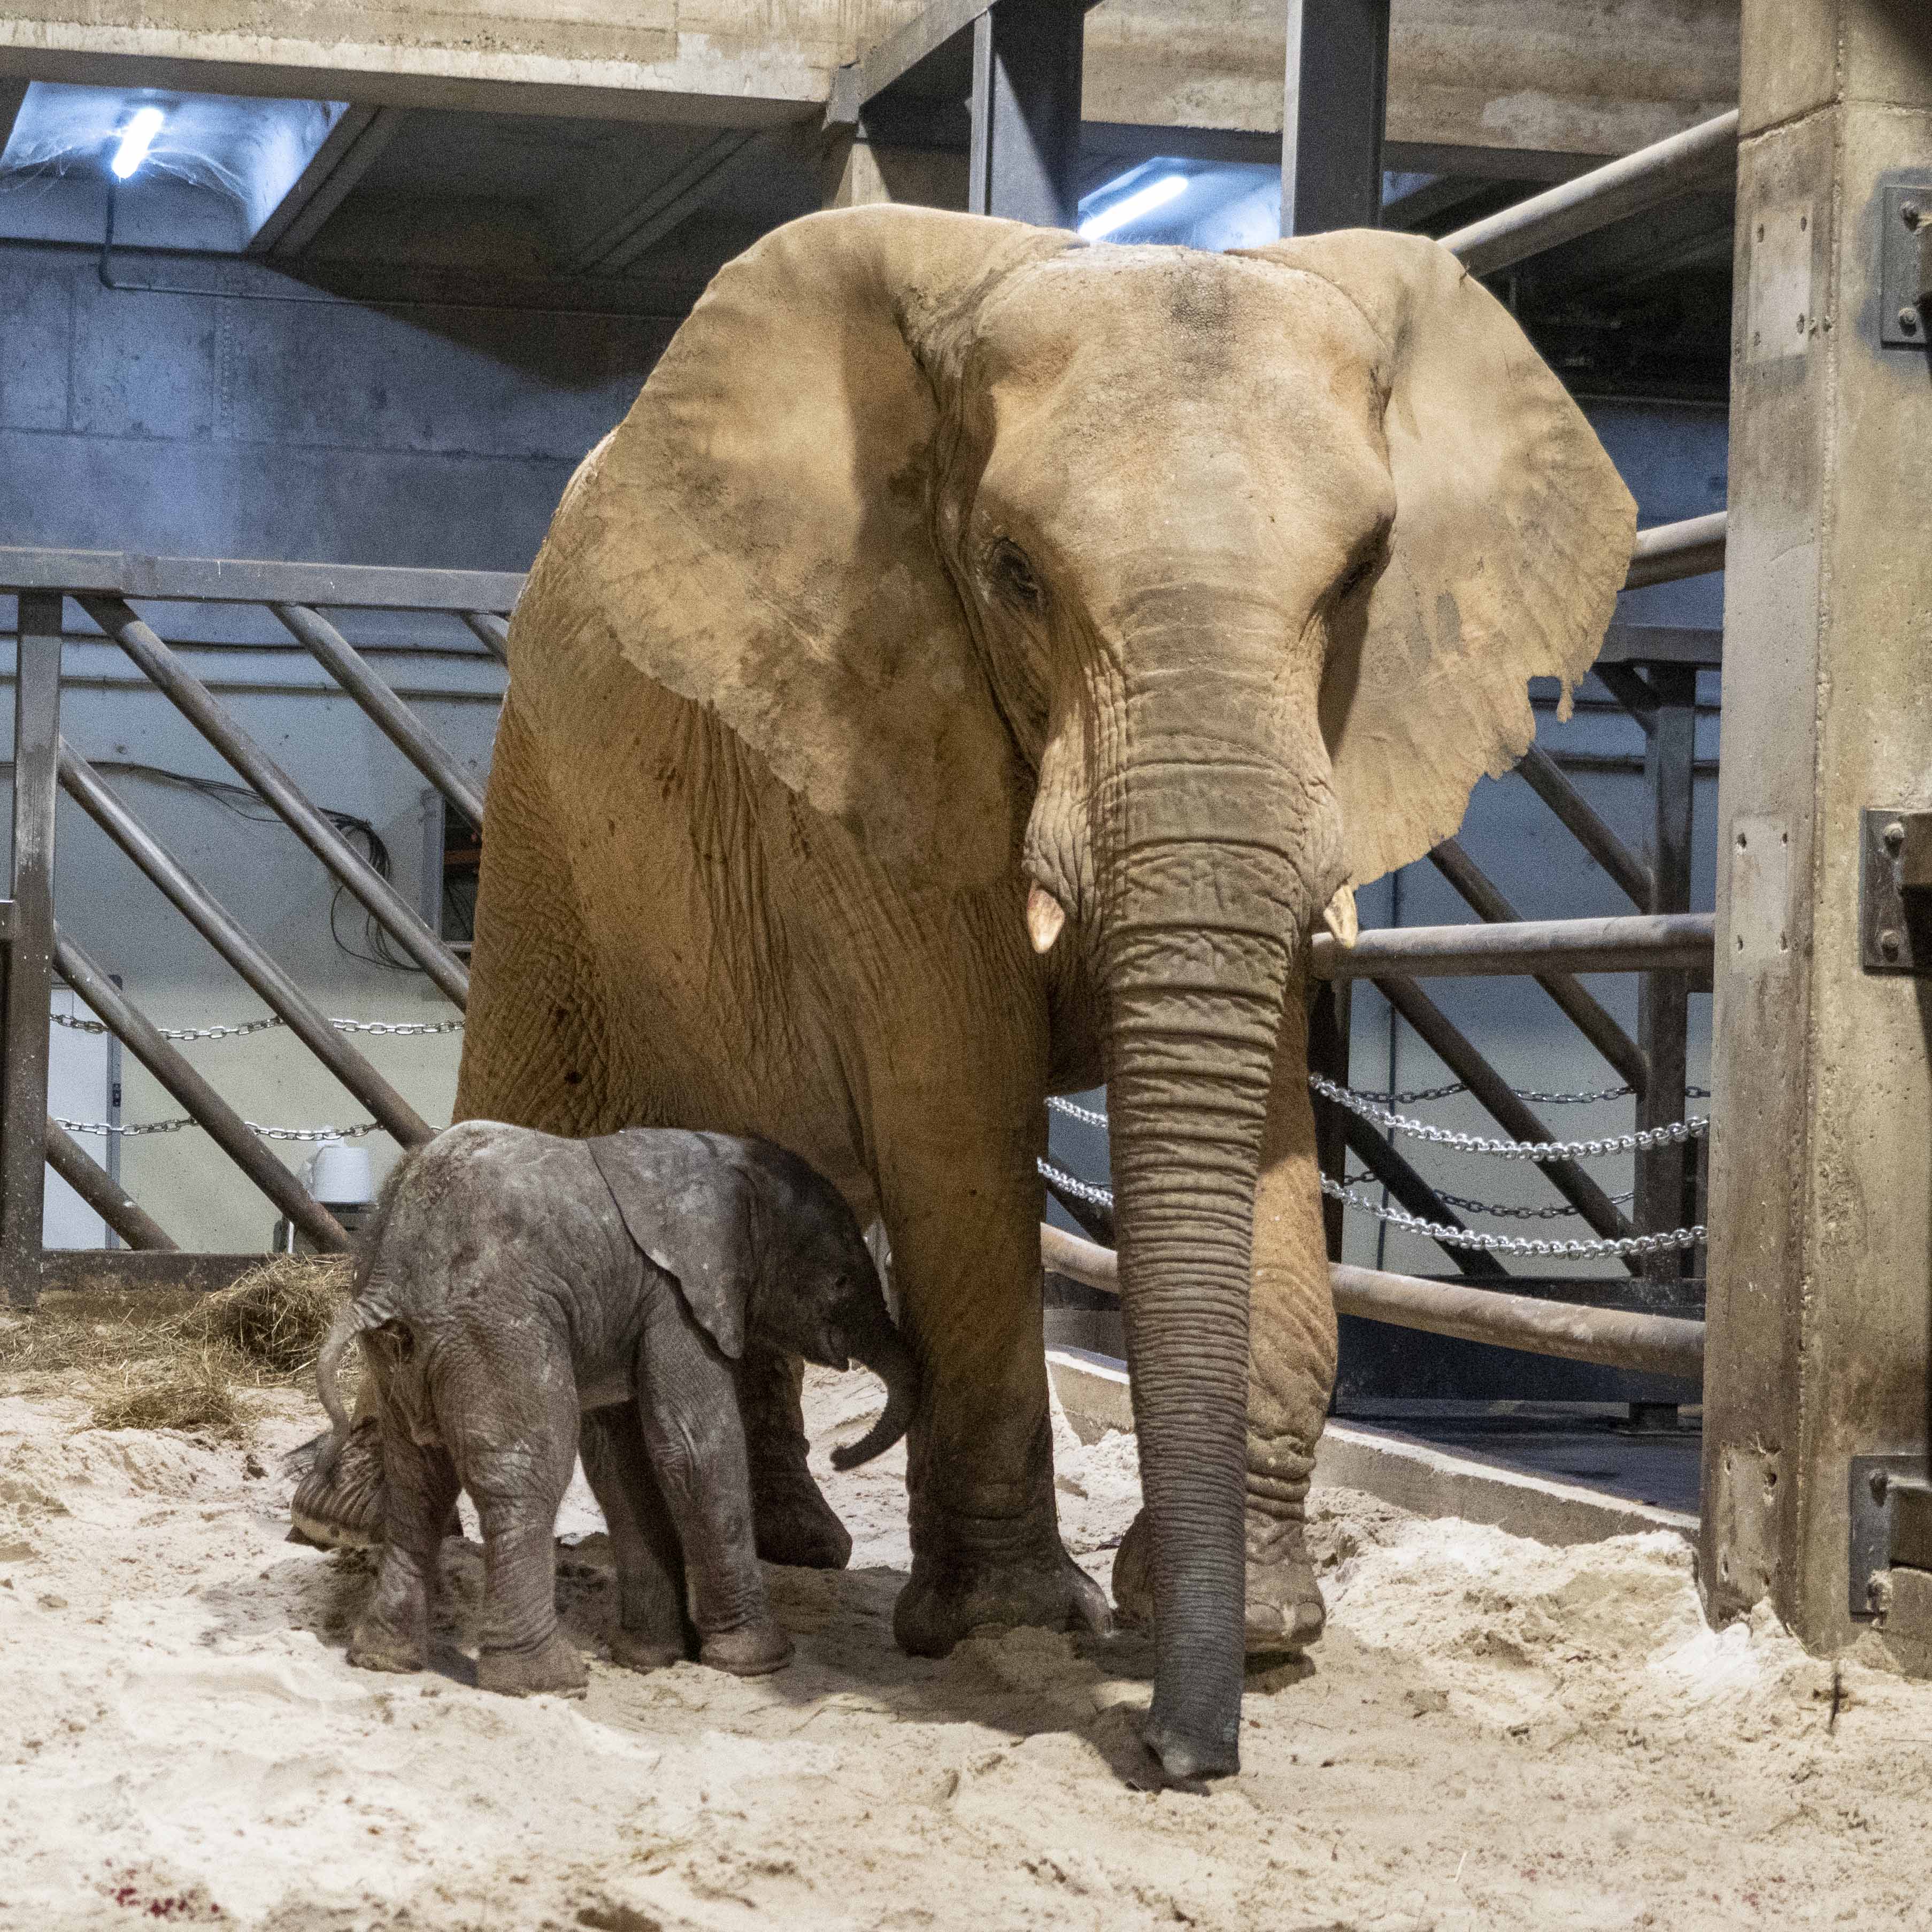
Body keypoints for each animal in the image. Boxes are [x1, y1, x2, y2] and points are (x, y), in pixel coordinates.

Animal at [313, 1128, 915, 1700]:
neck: (727, 1163)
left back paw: (384, 1658)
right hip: (496, 1329)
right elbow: (695, 1447)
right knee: (528, 1475)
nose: (839, 1455)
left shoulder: (625, 1309)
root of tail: (390, 1275)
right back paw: (546, 1683)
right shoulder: (678, 1301)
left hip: (405, 1353)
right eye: (839, 1281)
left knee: (417, 1483)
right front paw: (760, 1662)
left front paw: (652, 1659)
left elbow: (622, 1463)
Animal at [448, 204, 1630, 1769]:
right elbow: (959, 1126)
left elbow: (1264, 1128)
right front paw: (1012, 1627)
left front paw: (1258, 1630)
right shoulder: (872, 727)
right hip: (543, 828)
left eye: (1364, 572)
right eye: (1011, 570)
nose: (1180, 1756)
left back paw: (801, 1547)